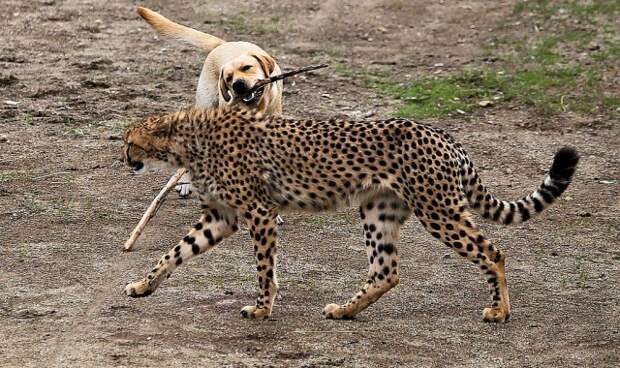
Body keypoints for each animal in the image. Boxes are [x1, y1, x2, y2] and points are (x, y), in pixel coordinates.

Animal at [123, 105, 580, 322]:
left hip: (438, 210)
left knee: (493, 253)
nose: (124, 158)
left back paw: (500, 311)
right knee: (386, 271)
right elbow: (175, 251)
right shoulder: (223, 216)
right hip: (379, 210)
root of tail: (443, 135)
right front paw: (144, 285)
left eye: (130, 142)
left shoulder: (259, 211)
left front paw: (262, 308)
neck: (187, 140)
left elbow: (264, 269)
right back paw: (345, 310)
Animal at [137, 6, 284, 204]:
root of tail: (223, 44)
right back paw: (186, 182)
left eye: (247, 67)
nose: (237, 84)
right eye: (228, 78)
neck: (256, 107)